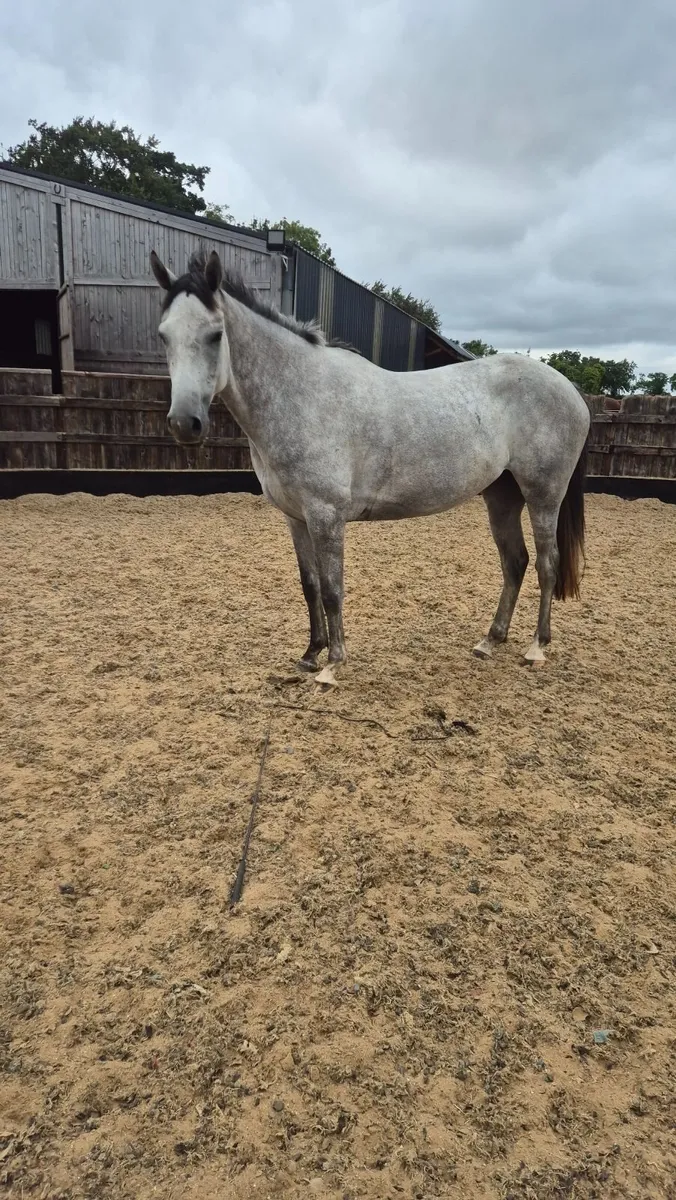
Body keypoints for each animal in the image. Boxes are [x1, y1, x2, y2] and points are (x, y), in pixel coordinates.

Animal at [150, 249, 590, 685]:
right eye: (164, 335)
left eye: (215, 334)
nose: (184, 424)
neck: (302, 394)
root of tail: (570, 389)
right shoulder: (296, 517)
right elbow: (309, 585)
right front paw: (310, 655)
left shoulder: (326, 515)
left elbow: (332, 589)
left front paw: (332, 665)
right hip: (501, 496)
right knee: (515, 562)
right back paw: (490, 641)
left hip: (543, 496)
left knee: (547, 564)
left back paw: (536, 647)